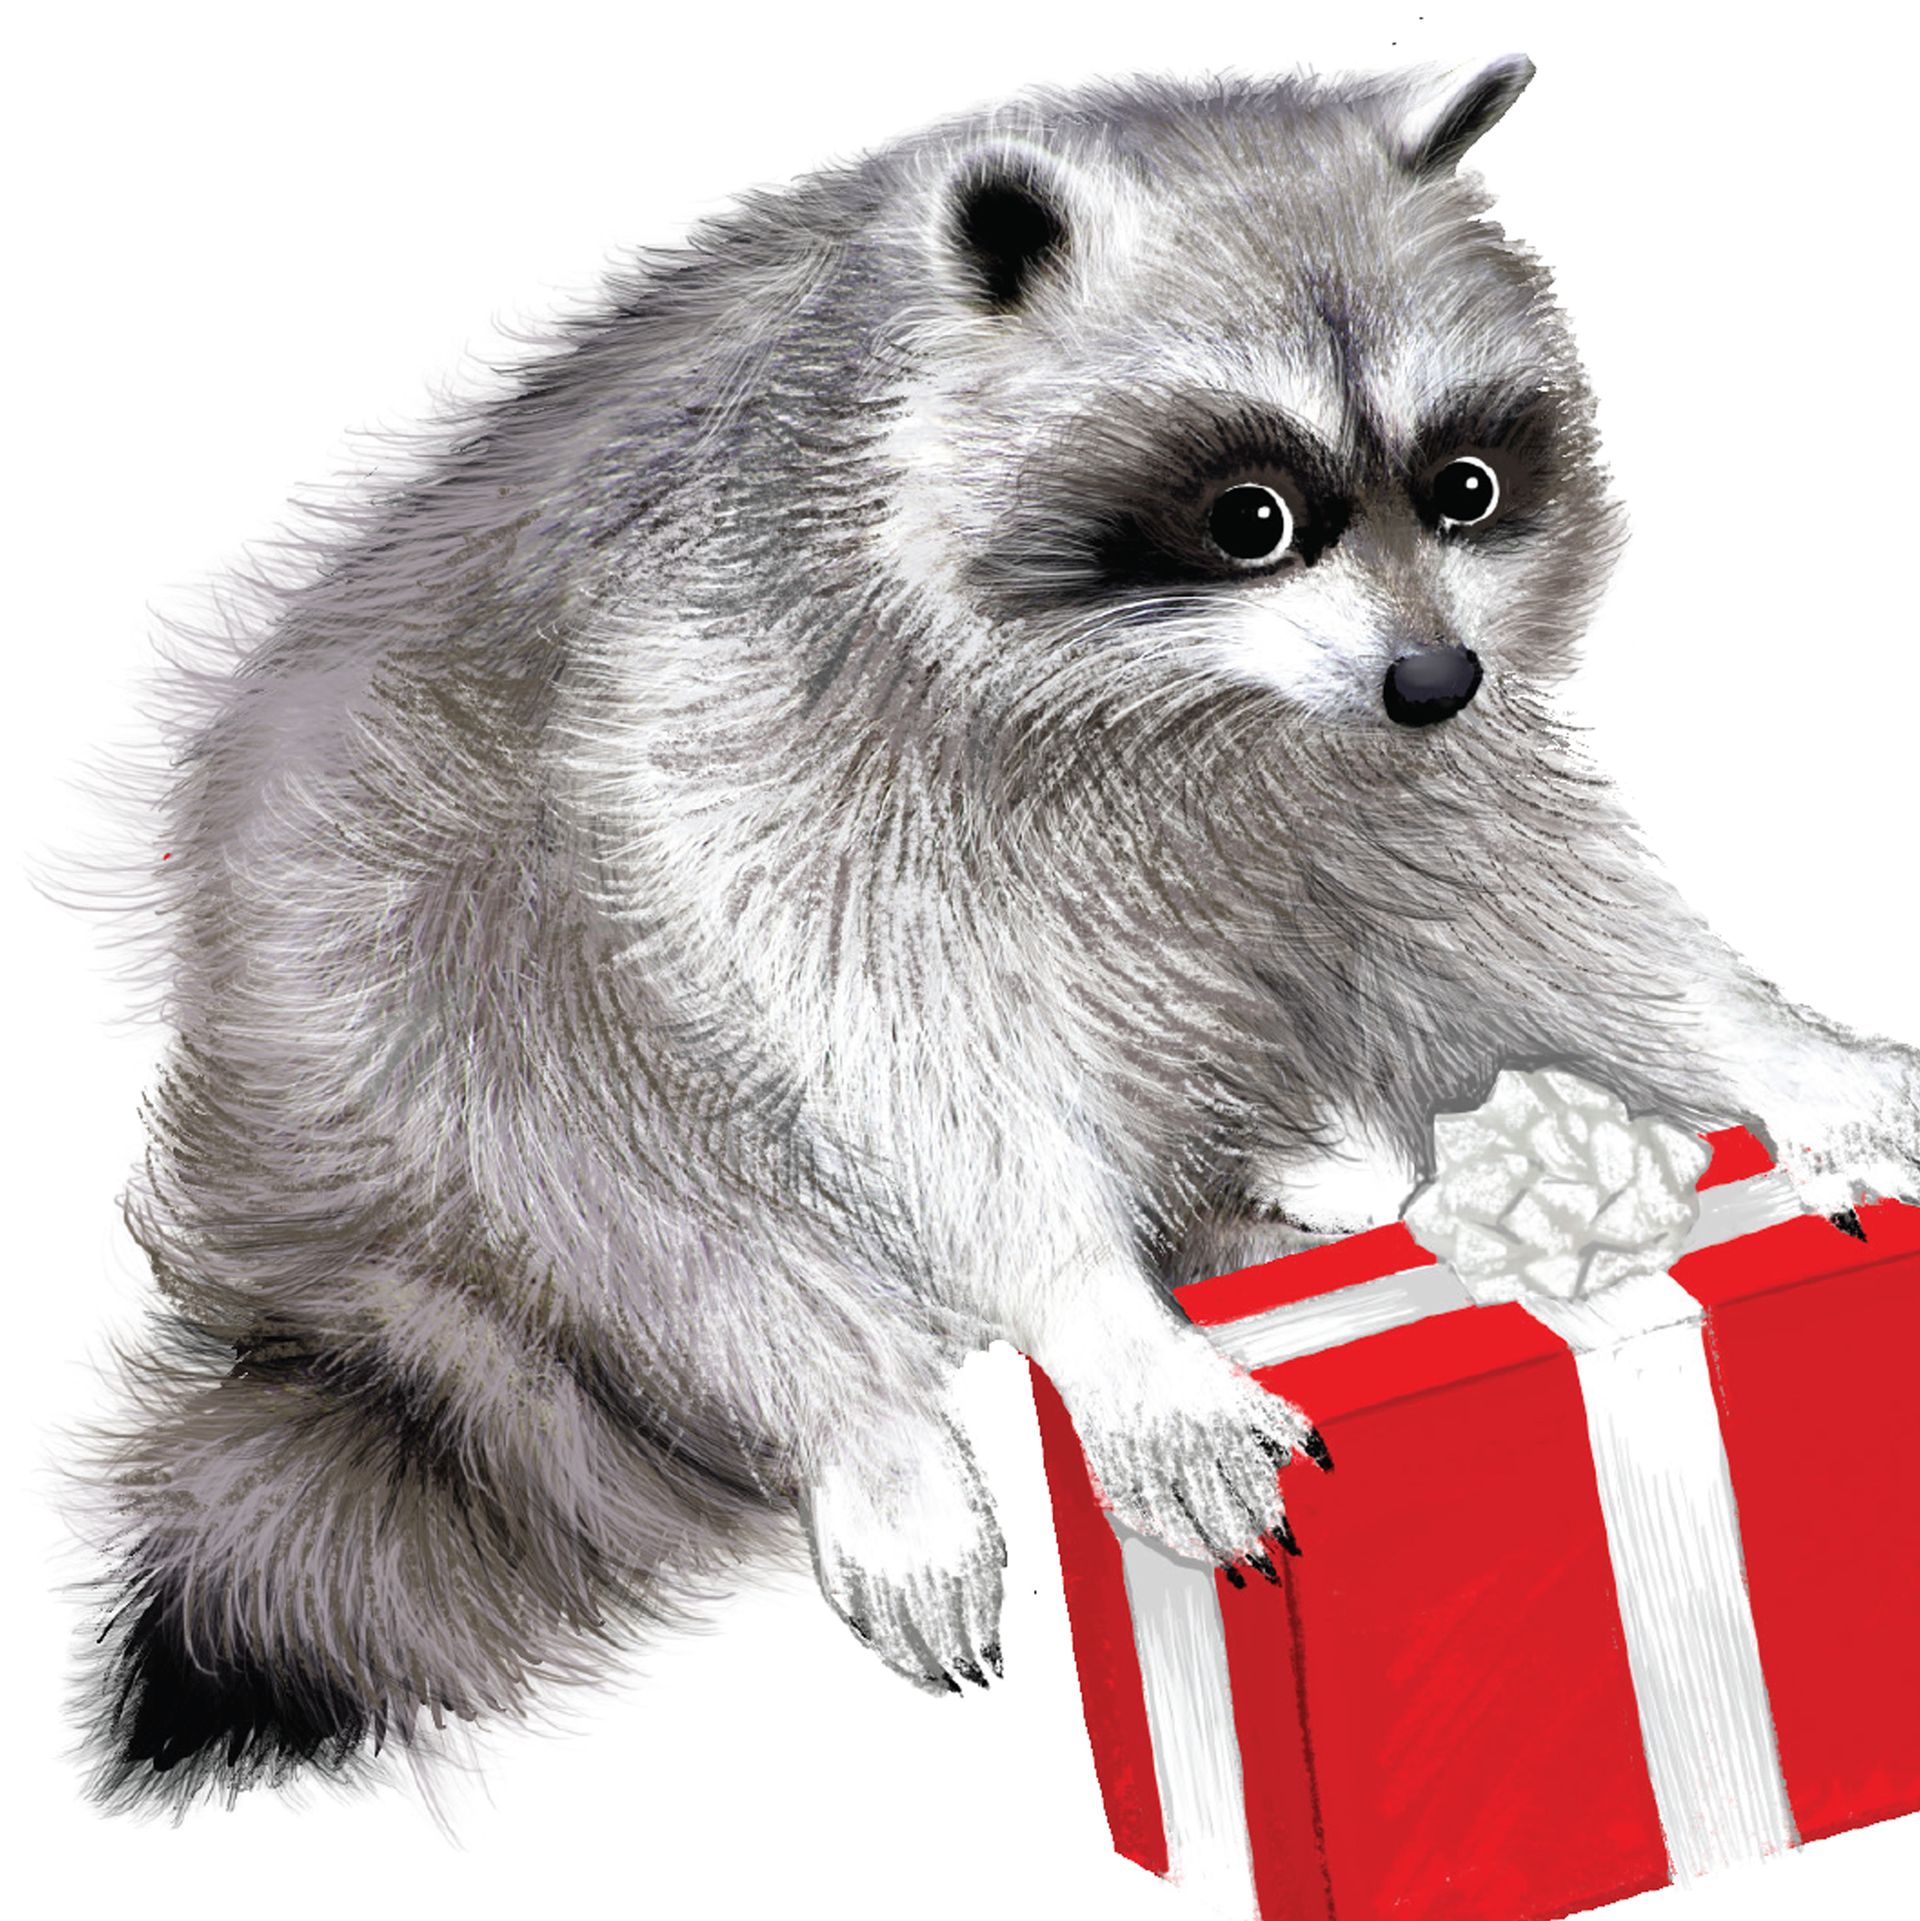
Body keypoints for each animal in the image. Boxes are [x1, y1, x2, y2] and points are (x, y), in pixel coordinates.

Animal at [78, 55, 1920, 1810]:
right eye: (1252, 515)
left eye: (1464, 485)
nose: (1434, 677)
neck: (1202, 708)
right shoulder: (743, 719)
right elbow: (898, 1052)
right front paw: (1098, 1323)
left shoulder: (1368, 776)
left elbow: (1526, 898)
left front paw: (1778, 1052)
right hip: (414, 973)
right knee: (639, 1197)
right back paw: (870, 1417)